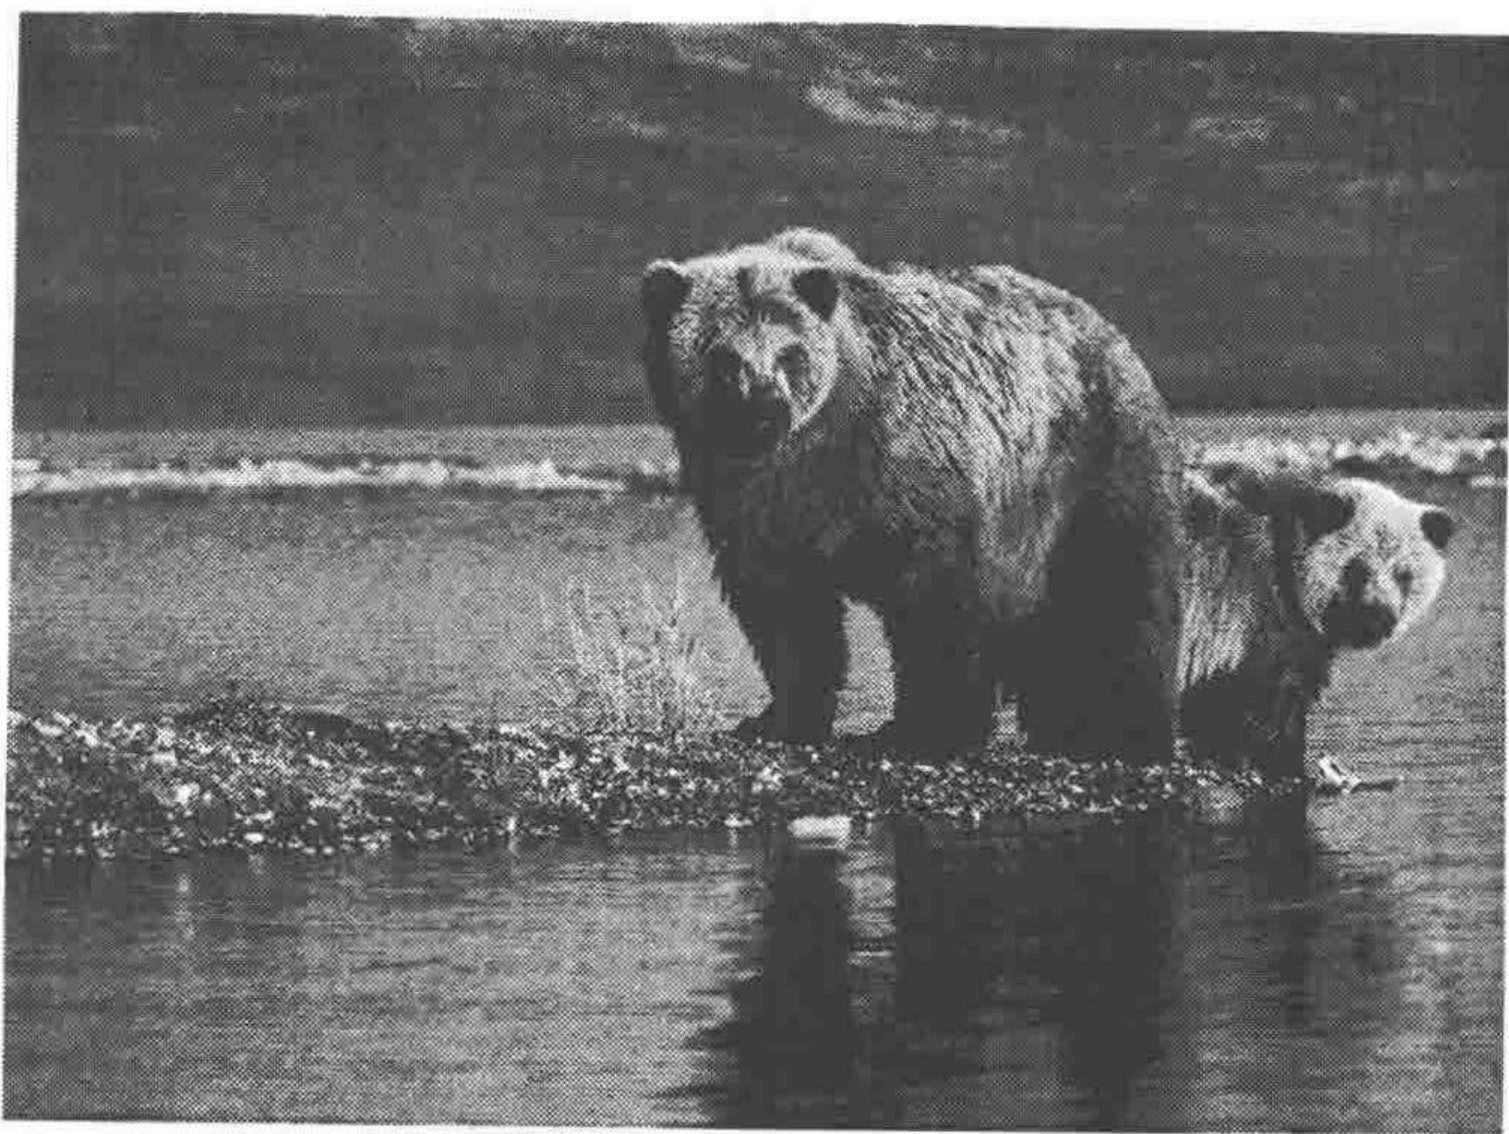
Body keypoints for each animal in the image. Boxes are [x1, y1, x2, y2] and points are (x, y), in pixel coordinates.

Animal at [640, 228, 1185, 762]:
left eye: (789, 353)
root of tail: (1105, 327)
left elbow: (937, 603)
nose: (765, 413)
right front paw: (777, 718)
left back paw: (1124, 727)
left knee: (1120, 593)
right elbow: (786, 610)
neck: (815, 450)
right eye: (723, 357)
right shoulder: (748, 499)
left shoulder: (908, 470)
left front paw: (928, 728)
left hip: (1087, 467)